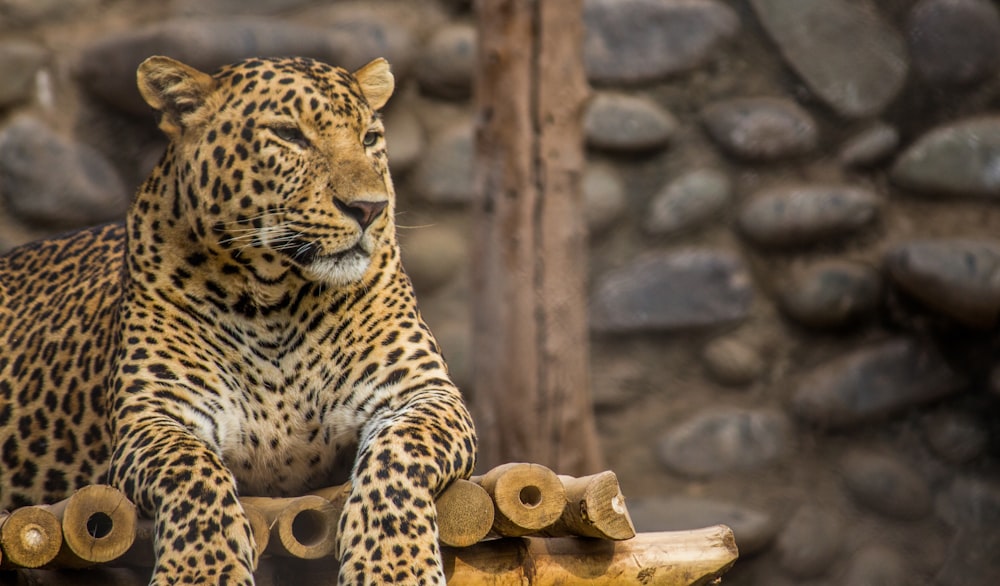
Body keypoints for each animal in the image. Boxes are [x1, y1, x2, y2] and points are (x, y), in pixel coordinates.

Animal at [0, 52, 476, 580]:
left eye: (370, 139)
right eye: (290, 135)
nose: (370, 209)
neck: (275, 298)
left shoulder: (421, 394)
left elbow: (400, 454)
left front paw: (394, 566)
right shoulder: (156, 414)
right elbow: (193, 470)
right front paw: (201, 572)